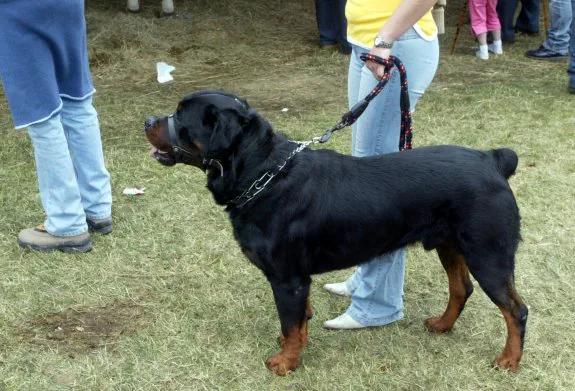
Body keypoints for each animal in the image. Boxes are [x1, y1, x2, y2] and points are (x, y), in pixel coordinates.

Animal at [143, 89, 528, 376]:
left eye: (180, 117)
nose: (147, 120)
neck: (263, 174)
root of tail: (491, 160)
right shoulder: (297, 279)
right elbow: (298, 320)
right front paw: (292, 347)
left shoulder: (287, 278)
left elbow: (290, 322)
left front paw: (285, 363)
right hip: (451, 244)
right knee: (462, 288)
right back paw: (443, 325)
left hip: (488, 253)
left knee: (515, 310)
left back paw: (508, 359)